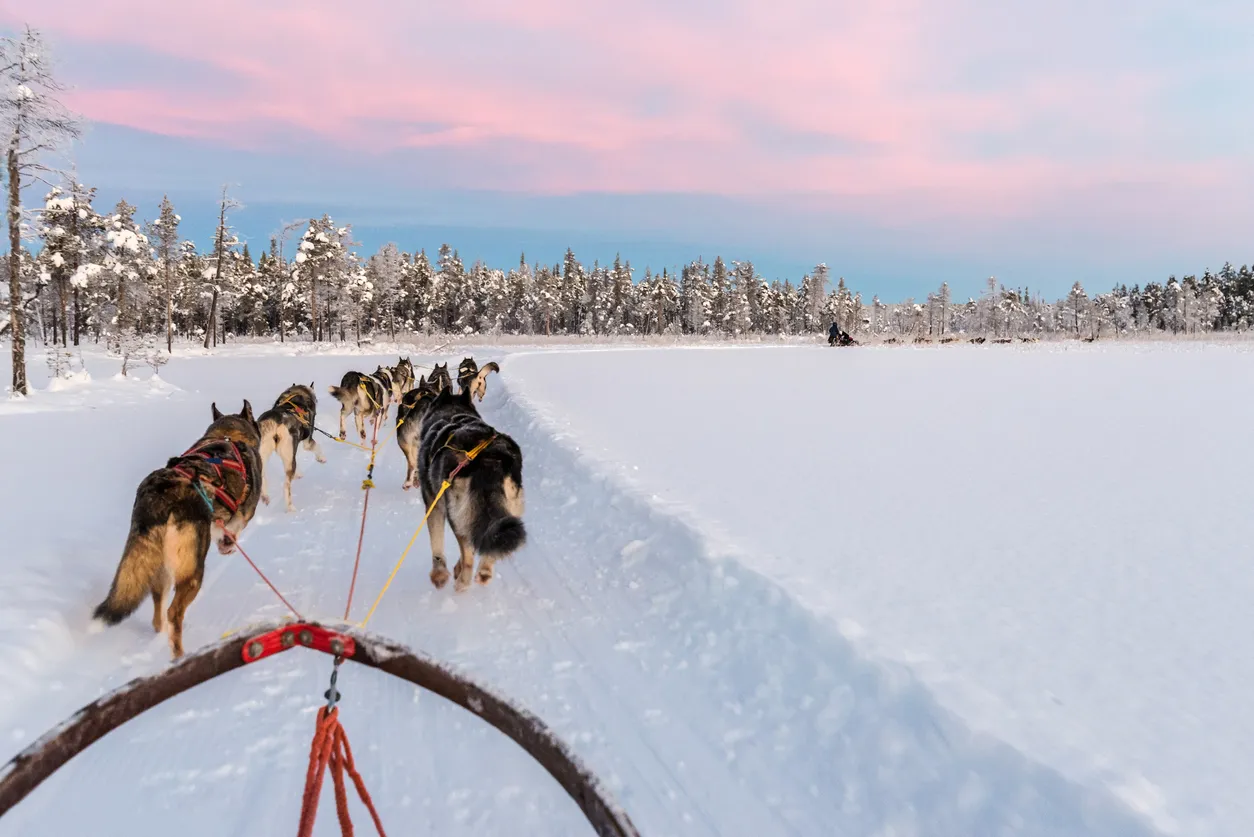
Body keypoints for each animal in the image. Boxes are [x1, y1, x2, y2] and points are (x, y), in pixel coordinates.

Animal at [92, 401, 262, 657]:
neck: (228, 436)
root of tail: (163, 497)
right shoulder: (242, 516)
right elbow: (234, 529)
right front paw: (228, 545)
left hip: (158, 565)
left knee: (158, 611)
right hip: (192, 571)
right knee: (174, 613)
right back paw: (180, 655)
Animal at [255, 383, 326, 514]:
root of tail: (276, 420)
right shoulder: (308, 441)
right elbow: (316, 446)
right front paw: (321, 458)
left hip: (262, 454)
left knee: (262, 476)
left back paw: (264, 496)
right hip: (288, 457)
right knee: (286, 485)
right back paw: (290, 508)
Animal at [416, 386, 524, 589]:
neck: (452, 413)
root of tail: (489, 456)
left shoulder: (434, 504)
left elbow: (437, 544)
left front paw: (439, 574)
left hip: (456, 514)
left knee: (468, 555)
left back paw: (462, 583)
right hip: (509, 510)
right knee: (489, 542)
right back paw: (484, 572)